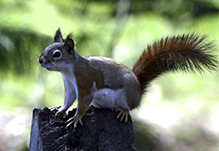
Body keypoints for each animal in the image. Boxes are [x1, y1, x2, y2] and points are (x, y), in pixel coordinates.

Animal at [39, 28, 217, 127]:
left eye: (57, 54)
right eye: (45, 48)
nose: (40, 60)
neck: (69, 70)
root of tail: (138, 89)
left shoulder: (85, 80)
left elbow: (83, 102)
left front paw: (76, 118)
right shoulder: (69, 85)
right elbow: (69, 100)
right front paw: (59, 109)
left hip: (127, 95)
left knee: (130, 107)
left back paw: (124, 112)